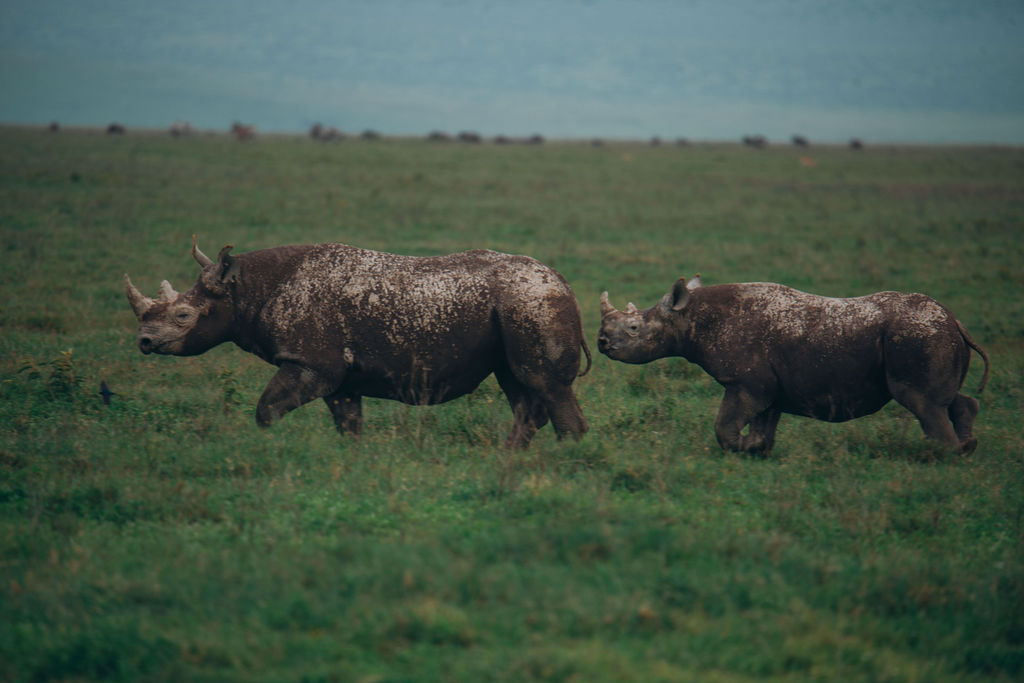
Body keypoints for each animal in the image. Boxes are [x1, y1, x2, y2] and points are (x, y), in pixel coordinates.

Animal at [125, 239, 590, 448]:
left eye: (184, 317)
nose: (145, 342)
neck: (248, 290)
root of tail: (564, 281)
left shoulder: (311, 362)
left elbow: (266, 407)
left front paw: (266, 445)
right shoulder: (339, 374)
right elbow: (348, 422)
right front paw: (354, 458)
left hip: (531, 300)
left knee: (545, 383)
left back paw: (564, 458)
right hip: (521, 304)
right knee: (520, 385)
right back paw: (509, 456)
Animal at [598, 276, 990, 455]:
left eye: (633, 329)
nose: (602, 343)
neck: (690, 316)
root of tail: (954, 321)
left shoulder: (745, 382)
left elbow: (724, 425)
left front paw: (744, 447)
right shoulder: (767, 384)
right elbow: (764, 421)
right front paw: (757, 448)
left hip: (916, 336)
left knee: (922, 402)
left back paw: (944, 455)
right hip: (931, 334)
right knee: (944, 399)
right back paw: (967, 447)